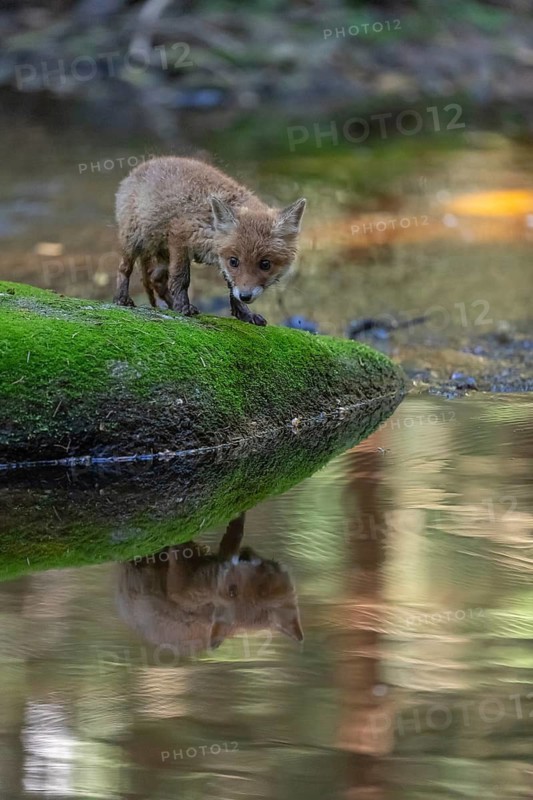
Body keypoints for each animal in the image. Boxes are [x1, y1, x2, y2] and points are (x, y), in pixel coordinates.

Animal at [113, 156, 306, 326]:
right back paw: (122, 298)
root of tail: (139, 168)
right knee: (124, 269)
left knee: (156, 279)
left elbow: (231, 287)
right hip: (134, 240)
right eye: (235, 261)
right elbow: (181, 278)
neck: (211, 224)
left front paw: (244, 313)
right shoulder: (180, 235)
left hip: (162, 254)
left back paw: (170, 305)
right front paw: (183, 307)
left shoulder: (219, 257)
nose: (246, 296)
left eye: (265, 264)